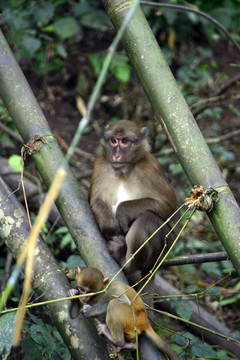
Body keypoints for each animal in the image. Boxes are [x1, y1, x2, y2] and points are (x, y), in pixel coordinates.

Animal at [89, 121, 177, 276]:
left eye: (125, 141)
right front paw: (112, 228)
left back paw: (125, 260)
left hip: (165, 247)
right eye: (113, 140)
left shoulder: (150, 167)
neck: (124, 171)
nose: (117, 155)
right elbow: (96, 200)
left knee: (148, 219)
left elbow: (169, 207)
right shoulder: (100, 165)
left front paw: (122, 212)